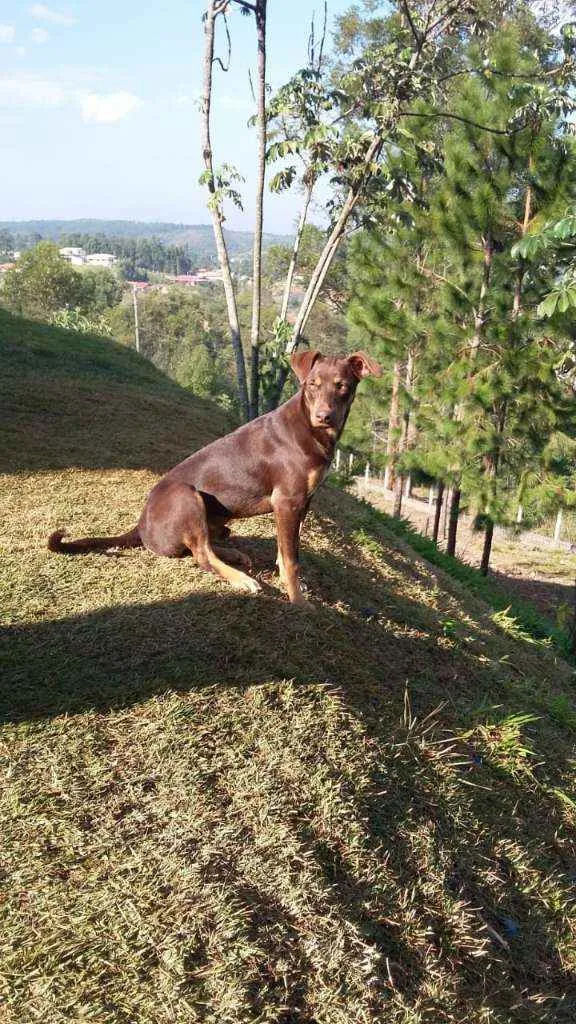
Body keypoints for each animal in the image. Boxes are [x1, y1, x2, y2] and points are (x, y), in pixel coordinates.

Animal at [49, 352, 379, 602]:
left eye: (342, 386)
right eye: (312, 384)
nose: (324, 416)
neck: (311, 430)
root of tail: (141, 524)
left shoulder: (303, 502)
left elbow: (286, 550)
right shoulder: (287, 501)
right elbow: (290, 560)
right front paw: (298, 600)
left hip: (217, 519)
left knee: (202, 545)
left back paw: (233, 555)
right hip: (187, 495)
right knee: (201, 554)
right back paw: (242, 578)